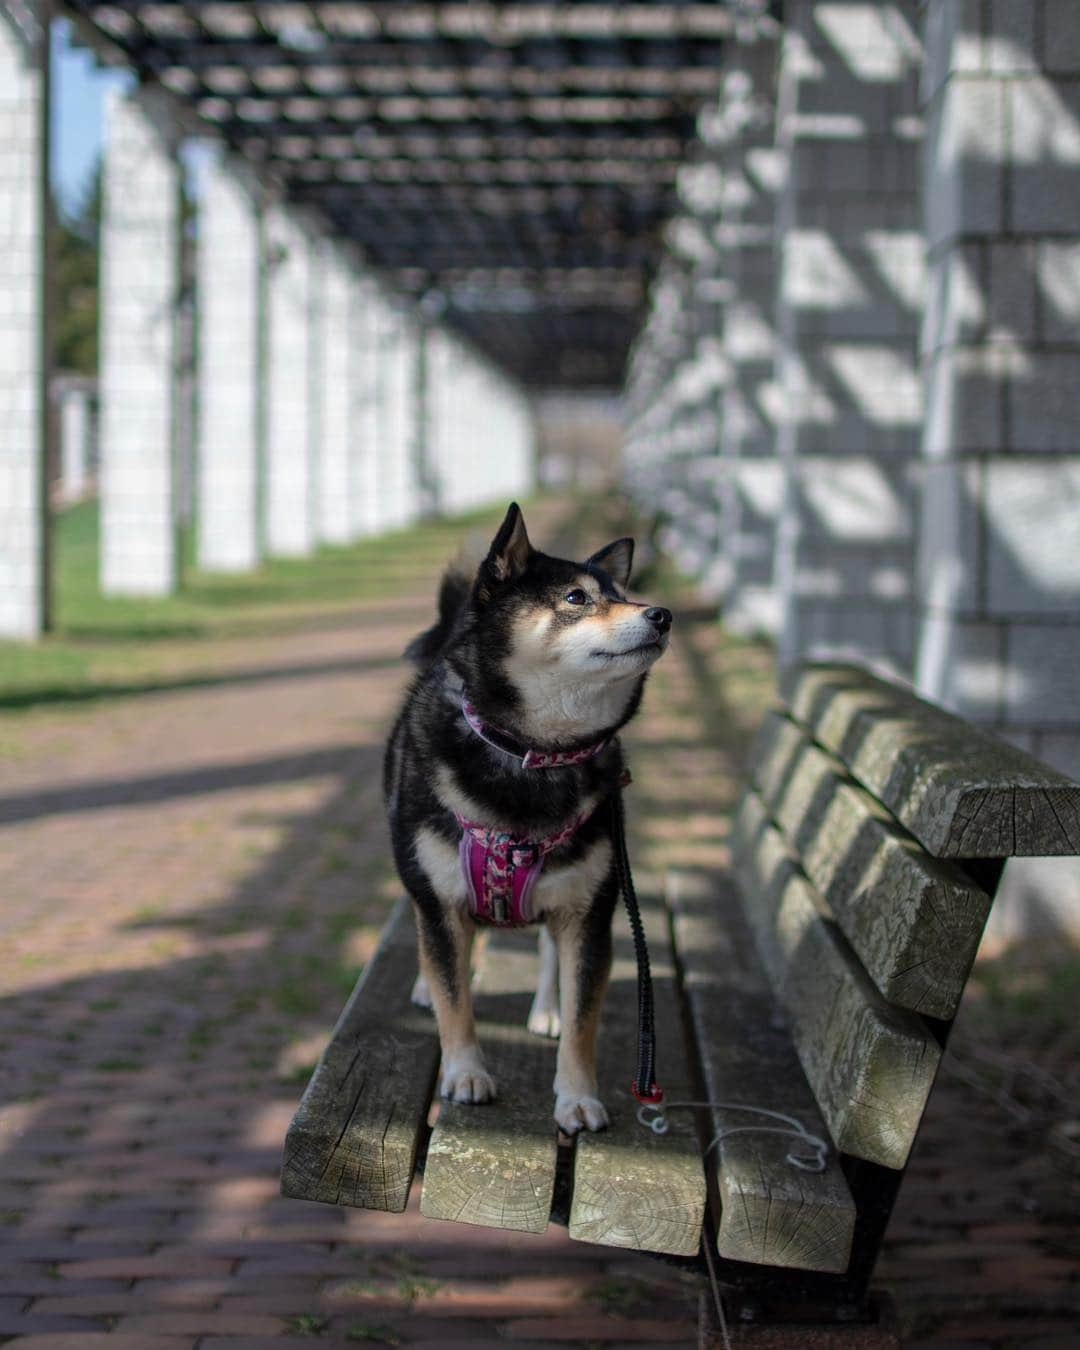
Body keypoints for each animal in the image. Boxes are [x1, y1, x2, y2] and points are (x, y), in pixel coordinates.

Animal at [388, 502, 669, 1134]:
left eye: (624, 595)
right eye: (576, 598)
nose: (663, 615)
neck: (533, 755)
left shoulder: (589, 912)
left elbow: (584, 1019)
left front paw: (577, 1097)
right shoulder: (440, 900)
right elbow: (454, 1000)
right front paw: (465, 1072)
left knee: (545, 950)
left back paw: (547, 1008)